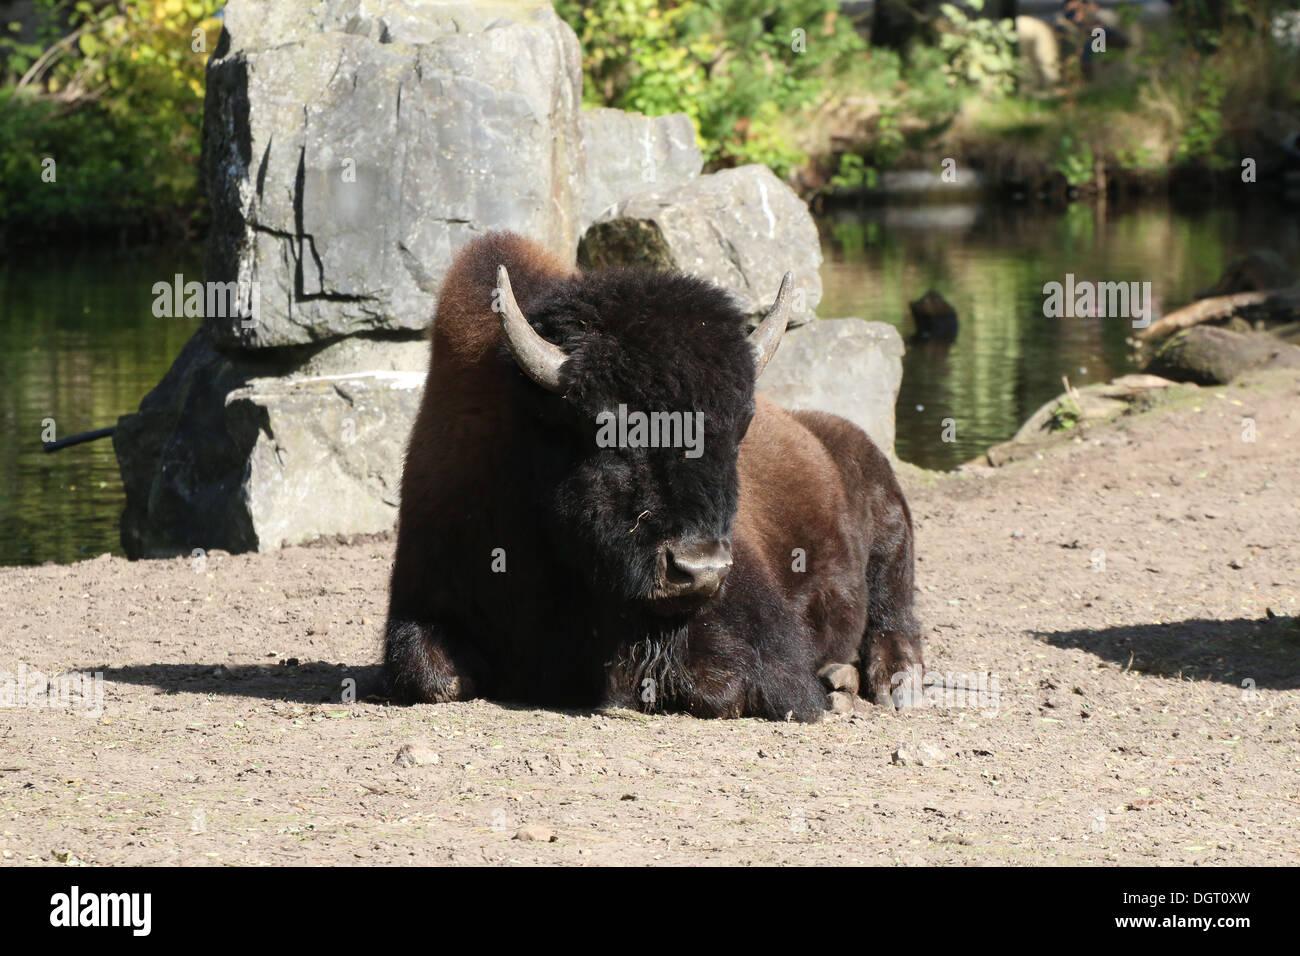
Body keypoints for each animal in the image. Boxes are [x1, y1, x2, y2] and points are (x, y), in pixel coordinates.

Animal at [383, 232, 923, 721]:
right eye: (607, 432)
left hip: (891, 528)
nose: (700, 569)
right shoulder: (420, 597)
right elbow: (432, 675)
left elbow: (725, 682)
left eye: (738, 431)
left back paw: (888, 685)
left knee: (894, 615)